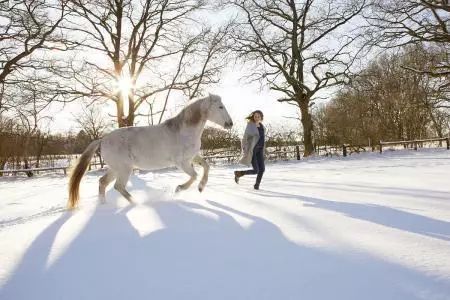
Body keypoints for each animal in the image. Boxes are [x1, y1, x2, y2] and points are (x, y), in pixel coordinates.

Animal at [69, 94, 236, 209]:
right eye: (220, 107)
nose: (230, 123)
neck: (184, 131)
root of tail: (102, 140)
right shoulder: (181, 162)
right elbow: (194, 175)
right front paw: (179, 189)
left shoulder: (193, 157)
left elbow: (206, 166)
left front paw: (201, 188)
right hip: (124, 169)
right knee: (118, 186)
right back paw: (136, 203)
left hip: (115, 169)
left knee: (103, 182)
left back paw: (103, 205)